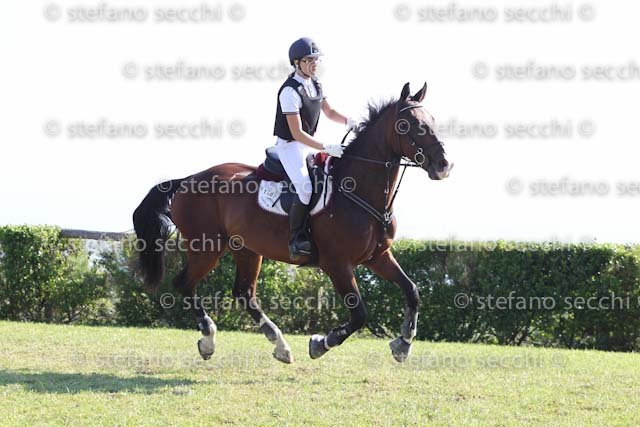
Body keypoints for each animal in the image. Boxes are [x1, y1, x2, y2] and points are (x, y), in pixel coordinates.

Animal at [132, 82, 453, 364]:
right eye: (407, 125)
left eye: (432, 121)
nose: (444, 166)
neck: (360, 191)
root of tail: (189, 179)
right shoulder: (337, 264)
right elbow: (359, 314)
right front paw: (320, 343)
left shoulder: (378, 256)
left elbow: (412, 290)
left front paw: (404, 343)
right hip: (206, 247)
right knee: (185, 283)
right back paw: (209, 339)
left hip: (246, 249)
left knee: (244, 294)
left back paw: (280, 346)